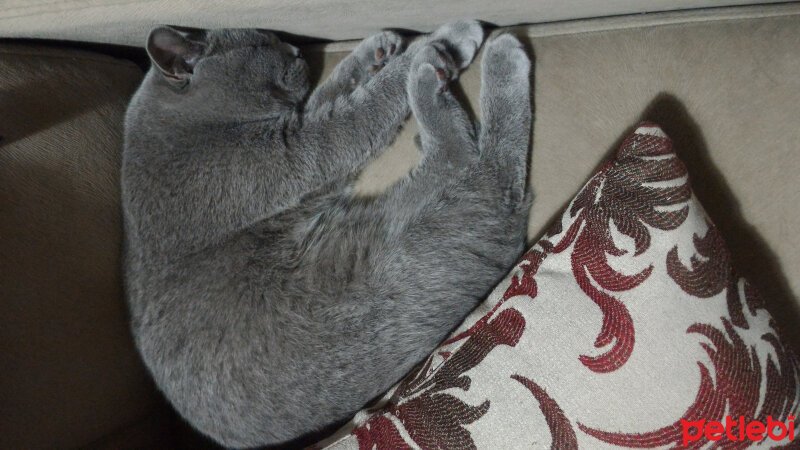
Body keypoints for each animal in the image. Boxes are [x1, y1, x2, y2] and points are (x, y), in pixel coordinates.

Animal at [122, 19, 532, 448]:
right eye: (260, 44)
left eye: (272, 36)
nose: (296, 50)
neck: (190, 126)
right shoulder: (298, 154)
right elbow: (360, 108)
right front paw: (428, 45)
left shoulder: (304, 164)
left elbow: (330, 92)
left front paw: (378, 48)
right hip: (413, 244)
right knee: (477, 166)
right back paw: (474, 61)